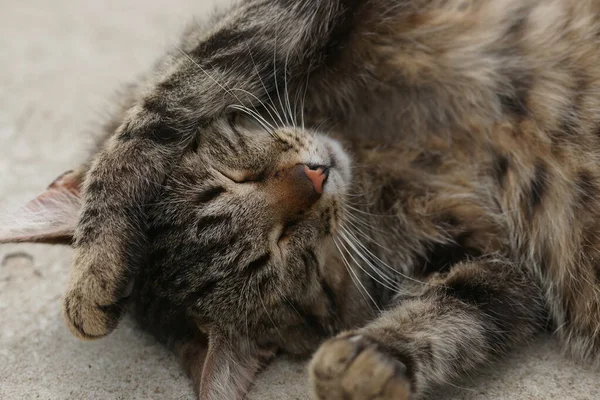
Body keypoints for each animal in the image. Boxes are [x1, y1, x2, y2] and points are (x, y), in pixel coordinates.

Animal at [1, 0, 600, 398]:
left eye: (229, 177)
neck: (365, 153)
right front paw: (372, 360)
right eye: (289, 250)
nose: (313, 176)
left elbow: (164, 101)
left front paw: (95, 266)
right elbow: (461, 313)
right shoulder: (497, 265)